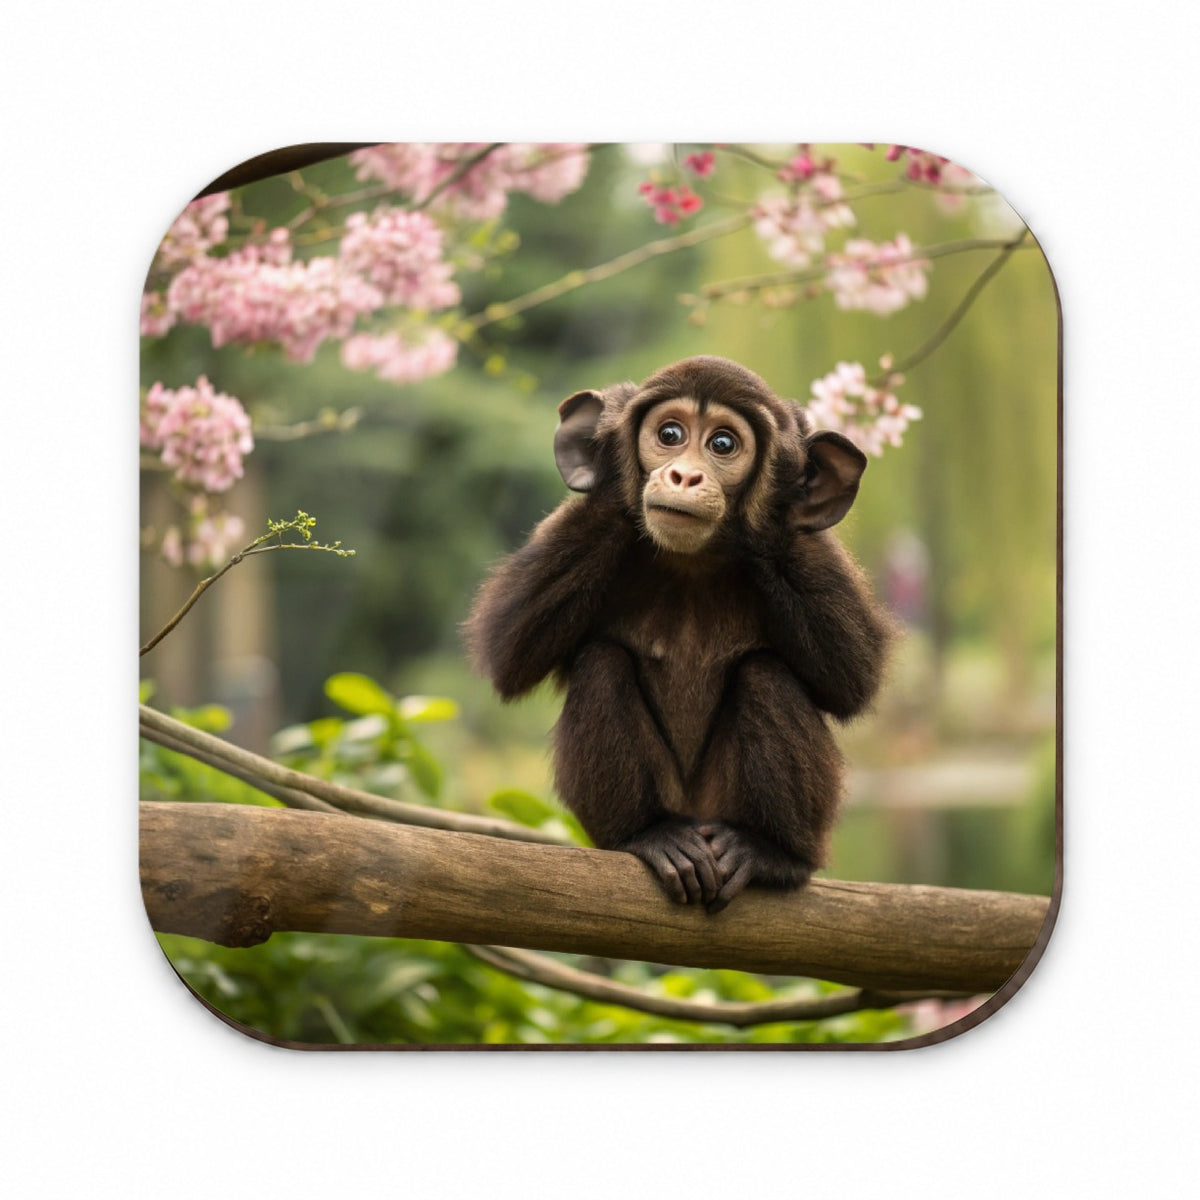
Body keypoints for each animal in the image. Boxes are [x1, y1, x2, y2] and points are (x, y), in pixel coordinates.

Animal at [464, 356, 893, 912]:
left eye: (722, 444)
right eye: (669, 434)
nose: (683, 474)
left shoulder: (814, 549)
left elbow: (853, 677)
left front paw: (770, 504)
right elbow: (509, 650)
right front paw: (611, 473)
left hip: (727, 809)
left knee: (765, 675)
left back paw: (772, 854)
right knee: (601, 663)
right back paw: (649, 836)